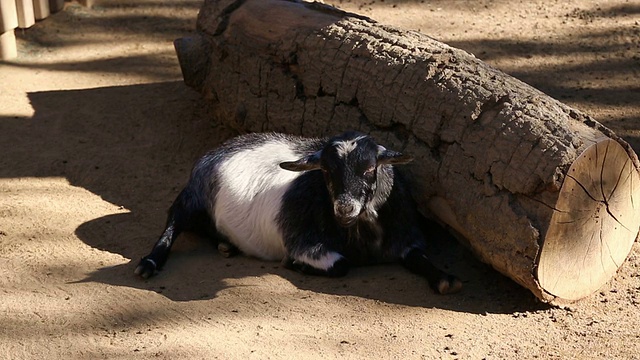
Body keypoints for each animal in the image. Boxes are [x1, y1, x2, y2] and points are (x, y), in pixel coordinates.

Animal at [135, 131, 462, 294]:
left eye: (371, 168)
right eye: (326, 171)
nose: (344, 208)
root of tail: (222, 147)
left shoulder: (408, 239)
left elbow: (421, 259)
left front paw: (445, 278)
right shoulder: (304, 242)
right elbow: (339, 264)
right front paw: (296, 265)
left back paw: (226, 245)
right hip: (192, 195)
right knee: (173, 221)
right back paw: (149, 263)